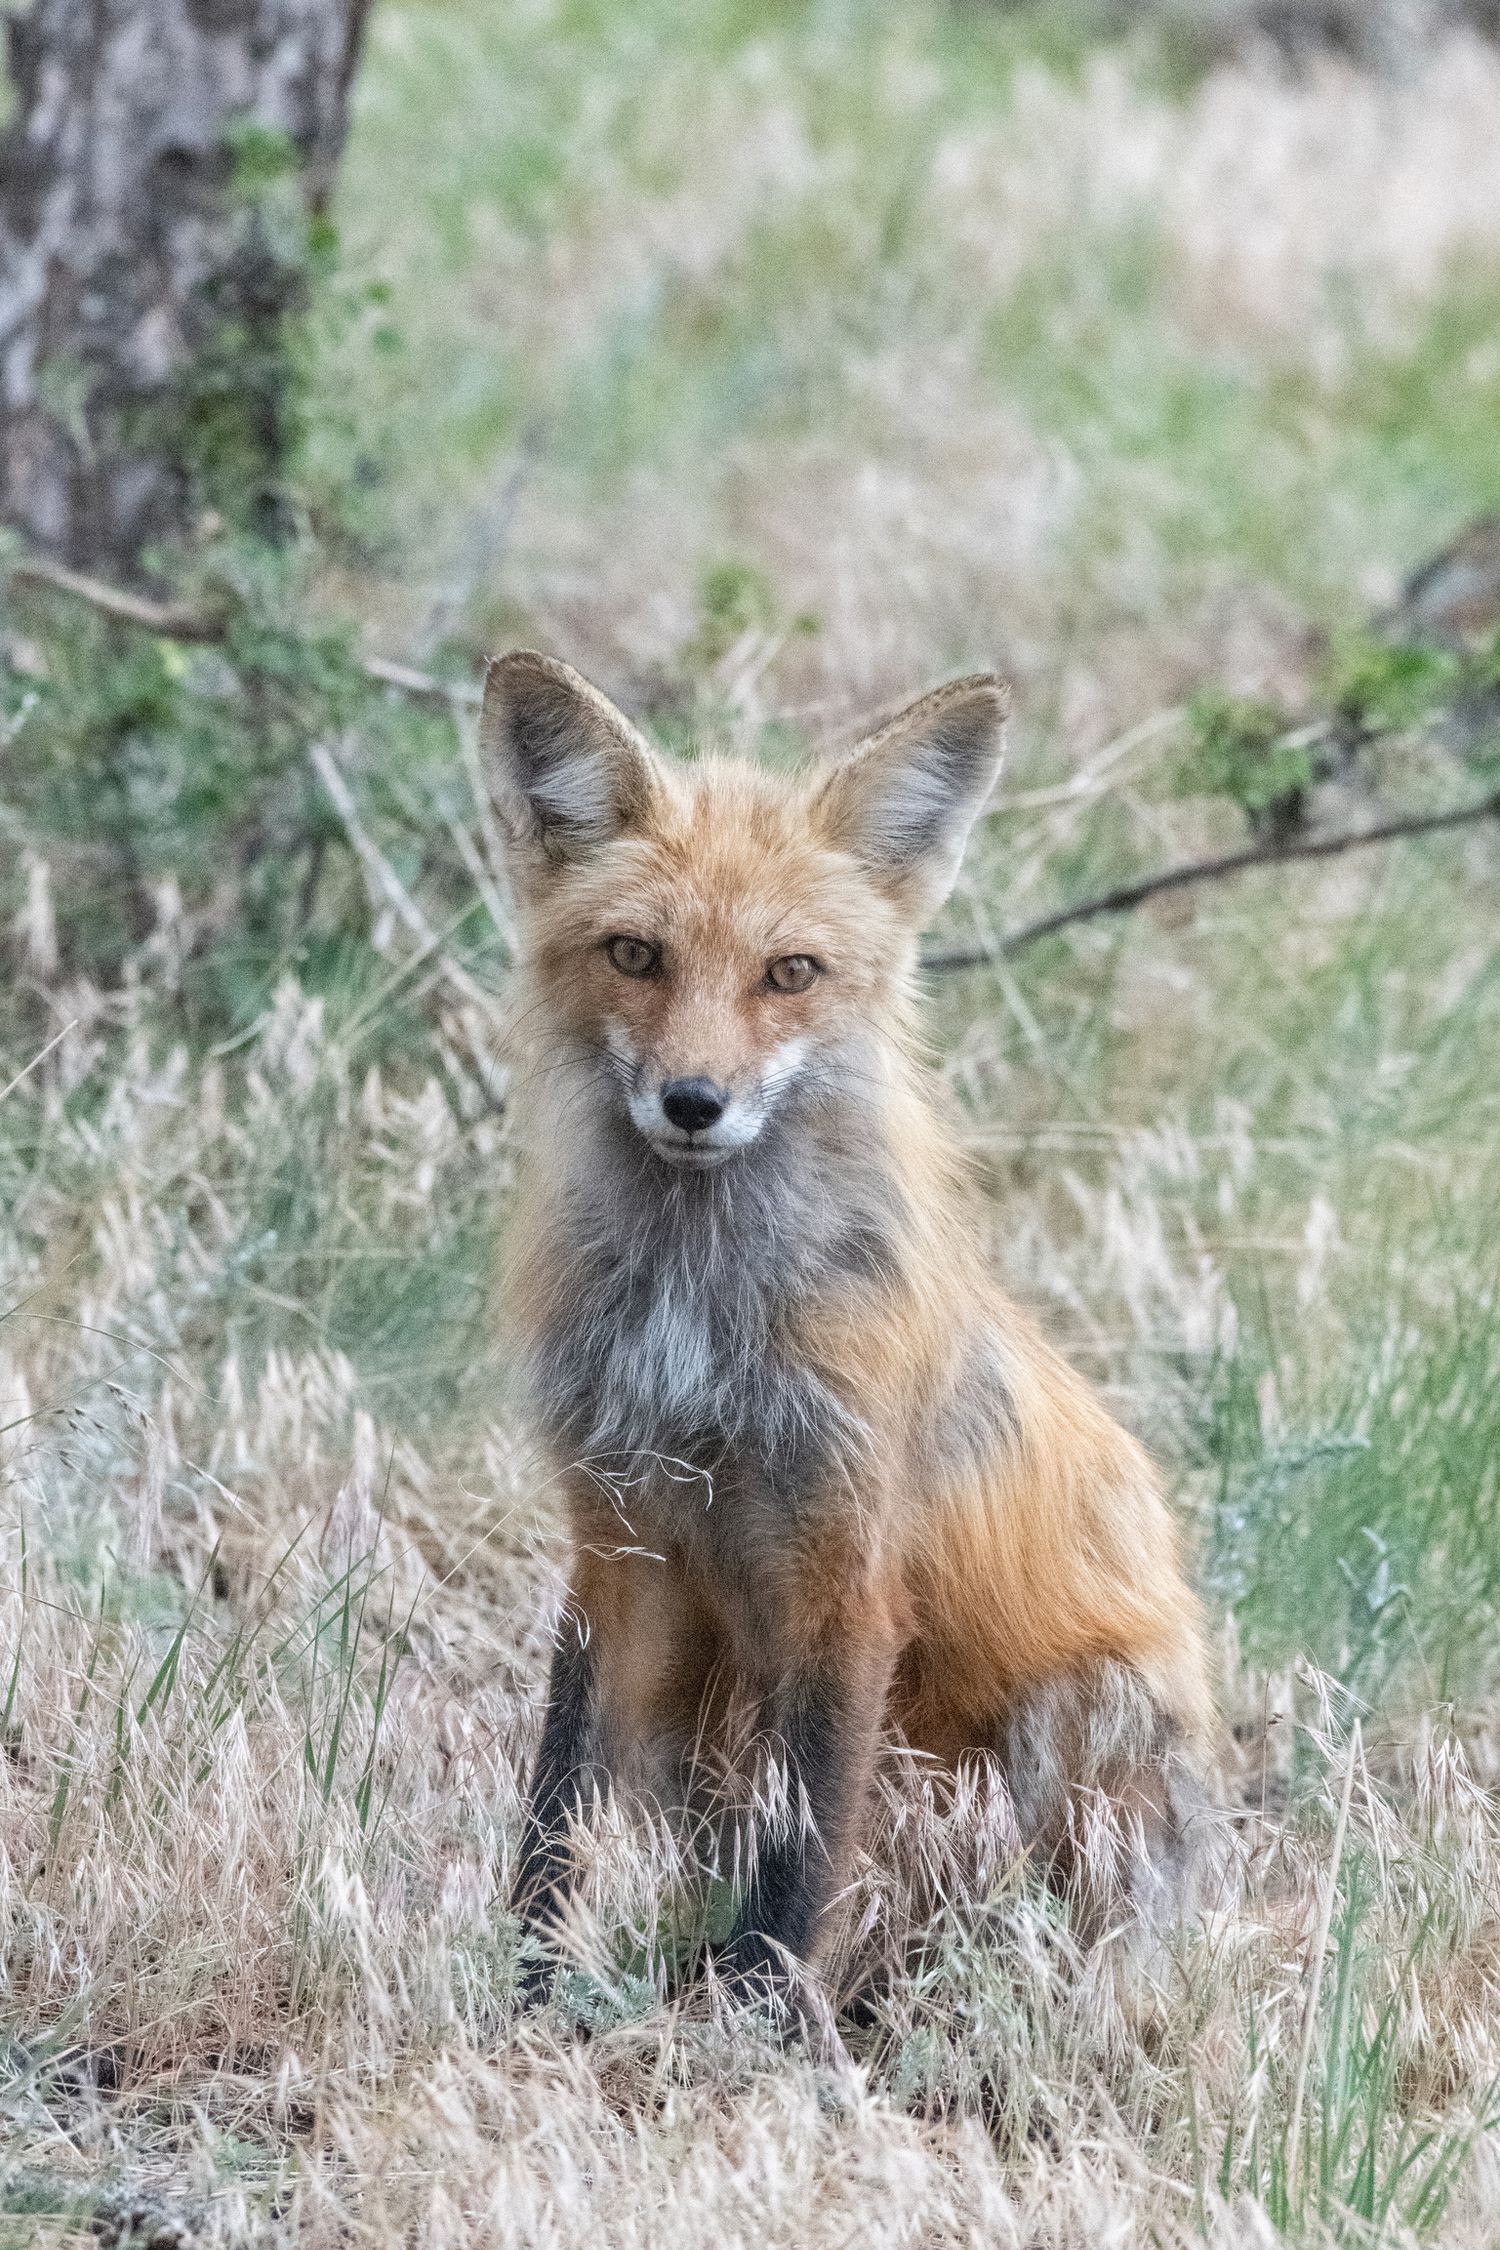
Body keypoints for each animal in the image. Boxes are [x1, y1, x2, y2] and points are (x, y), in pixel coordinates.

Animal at [483, 648, 1216, 2030]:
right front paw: (524, 1981)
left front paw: (754, 2021)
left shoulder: (845, 1566)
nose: (694, 1102)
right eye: (636, 954)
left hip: (1079, 1714)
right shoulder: (617, 1540)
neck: (700, 1324)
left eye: (791, 972)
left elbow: (805, 1841)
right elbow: (559, 1809)